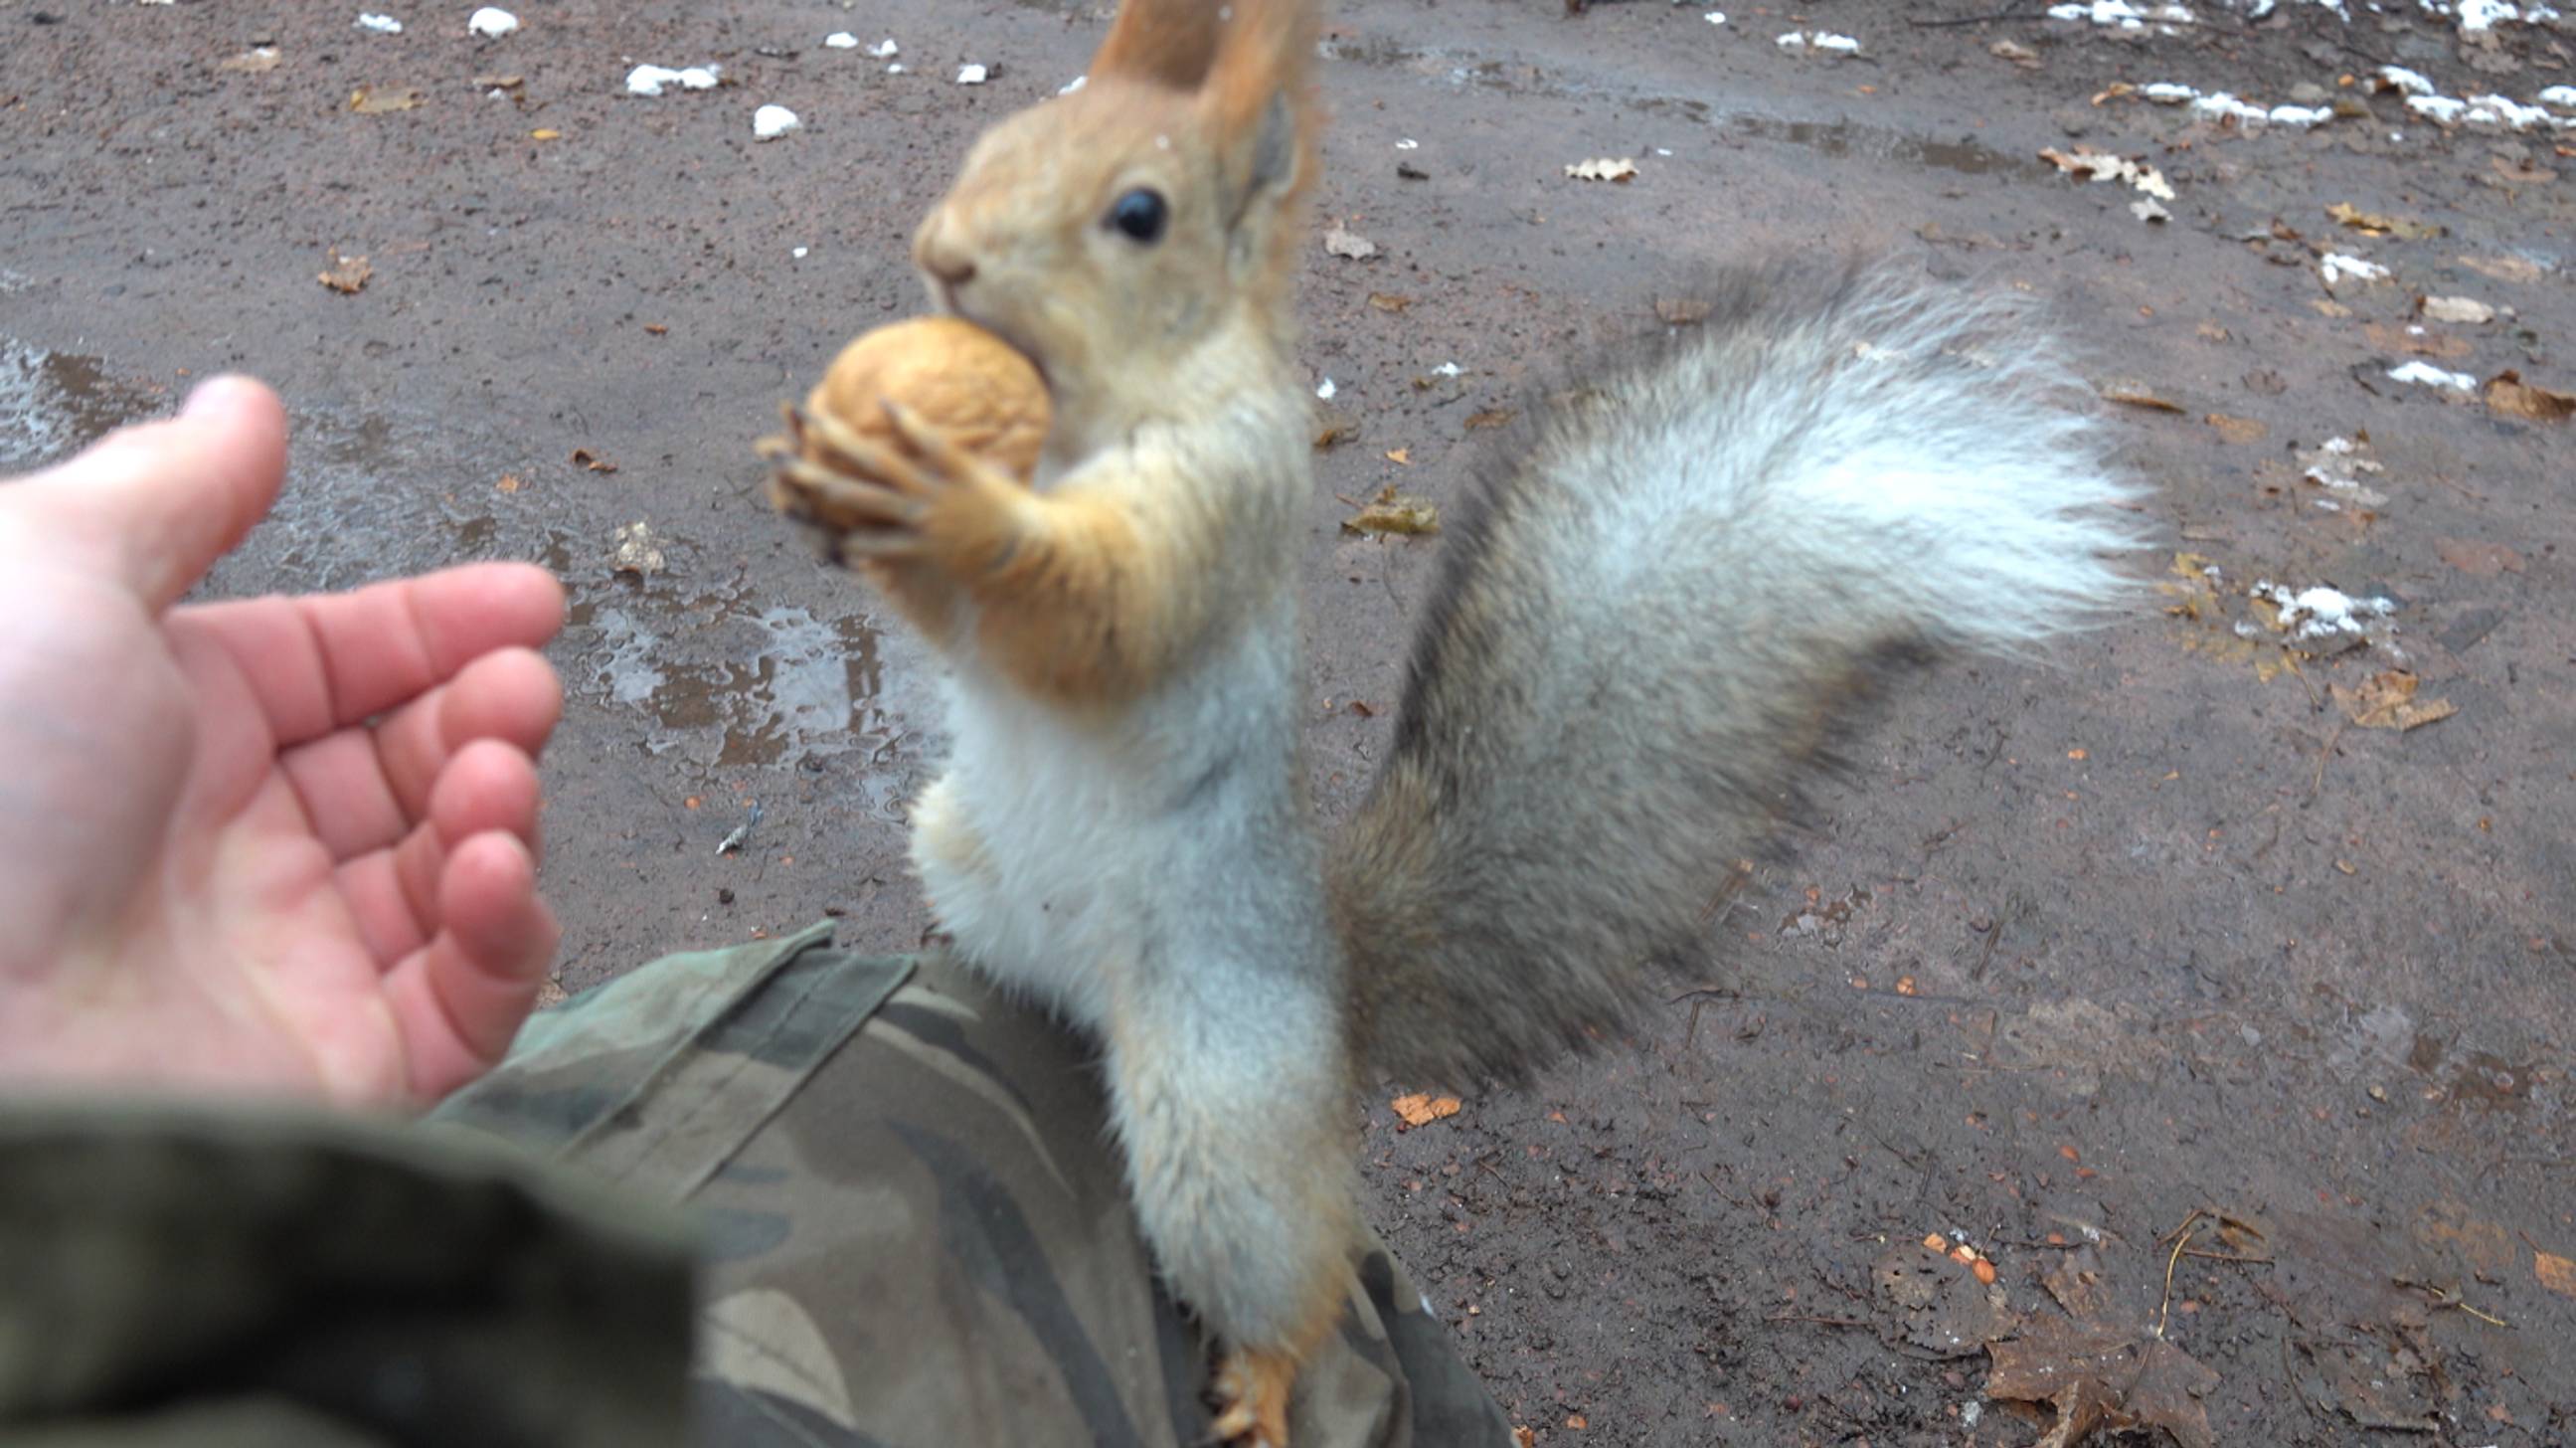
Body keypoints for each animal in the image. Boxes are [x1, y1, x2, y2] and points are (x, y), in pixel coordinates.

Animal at [757, 0, 2133, 1432]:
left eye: (1138, 214)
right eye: (1001, 138)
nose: (943, 256)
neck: (1078, 420)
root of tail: (1335, 977)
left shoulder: (1225, 500)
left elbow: (1103, 613)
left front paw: (952, 502)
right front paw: (828, 468)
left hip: (1215, 1102)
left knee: (1291, 1274)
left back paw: (1262, 1383)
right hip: (958, 848)